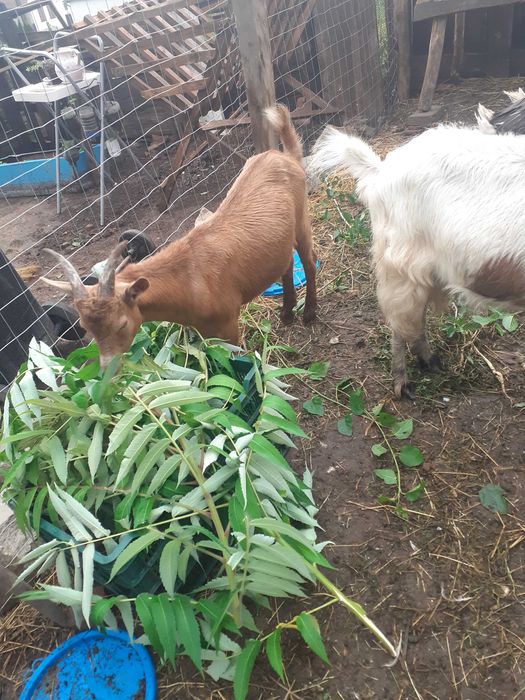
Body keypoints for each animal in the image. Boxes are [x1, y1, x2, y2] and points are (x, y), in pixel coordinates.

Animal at [42, 105, 317, 368]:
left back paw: (309, 314)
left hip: (302, 217)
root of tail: (285, 155)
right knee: (286, 262)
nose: (110, 368)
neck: (188, 281)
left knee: (309, 260)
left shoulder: (229, 325)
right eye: (84, 326)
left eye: (121, 324)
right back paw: (287, 313)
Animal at [309, 123, 525, 398]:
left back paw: (428, 362)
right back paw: (403, 381)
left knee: (413, 317)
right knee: (400, 322)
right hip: (401, 262)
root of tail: (381, 169)